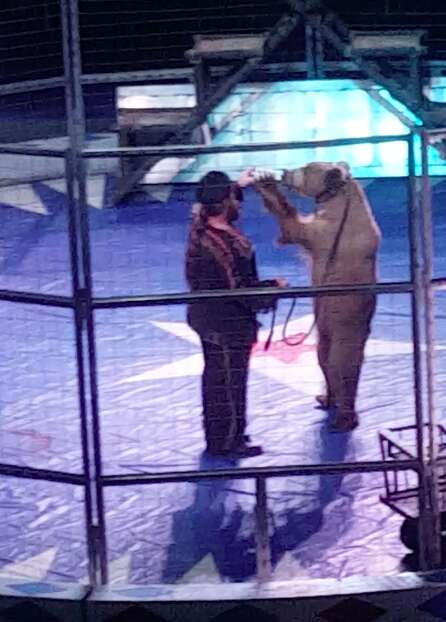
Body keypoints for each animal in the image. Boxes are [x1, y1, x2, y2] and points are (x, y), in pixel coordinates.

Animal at [247, 162, 380, 434]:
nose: (285, 172)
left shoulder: (330, 233)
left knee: (341, 366)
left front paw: (265, 183)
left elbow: (296, 228)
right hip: (326, 326)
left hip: (345, 325)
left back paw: (343, 419)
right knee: (323, 359)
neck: (338, 198)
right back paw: (325, 398)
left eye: (306, 169)